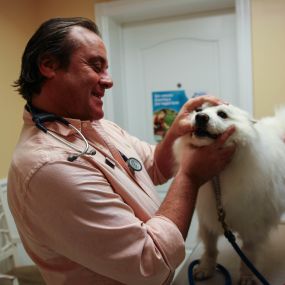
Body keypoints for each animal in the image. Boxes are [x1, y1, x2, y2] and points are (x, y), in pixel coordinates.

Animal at [172, 103, 284, 282]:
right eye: (198, 110)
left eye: (222, 114)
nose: (200, 117)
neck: (218, 178)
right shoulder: (208, 218)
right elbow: (210, 248)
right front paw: (205, 268)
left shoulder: (253, 226)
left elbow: (248, 254)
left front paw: (247, 276)